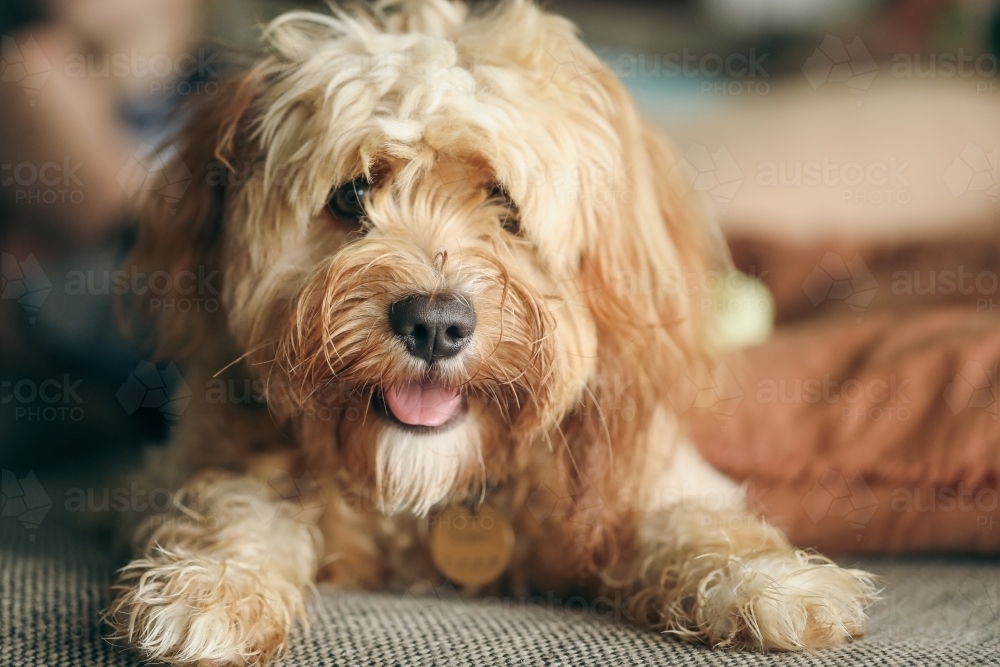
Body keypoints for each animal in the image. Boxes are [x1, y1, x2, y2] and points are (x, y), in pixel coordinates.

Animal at [107, 2, 876, 664]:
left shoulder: (633, 473)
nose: (434, 324)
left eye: (504, 203)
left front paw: (771, 583)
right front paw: (210, 587)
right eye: (352, 195)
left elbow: (693, 518)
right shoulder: (200, 455)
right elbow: (235, 502)